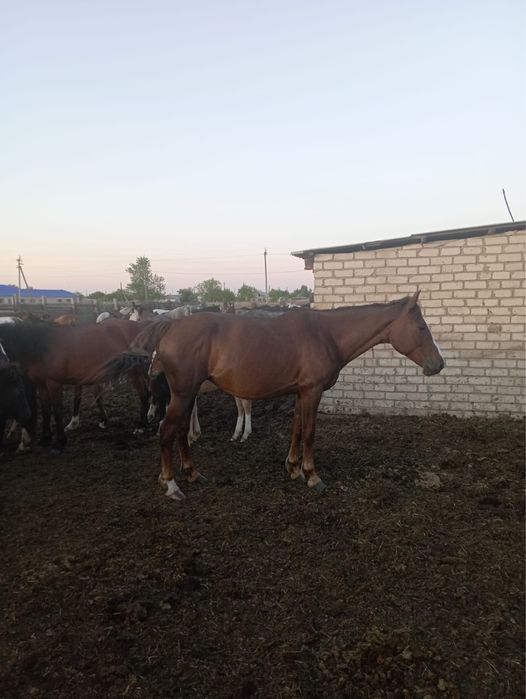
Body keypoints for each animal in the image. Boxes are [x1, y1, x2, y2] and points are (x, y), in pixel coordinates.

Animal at [0, 319, 154, 451]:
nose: (25, 416)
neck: (40, 344)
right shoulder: (42, 384)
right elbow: (45, 411)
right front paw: (45, 439)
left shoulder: (54, 383)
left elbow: (57, 411)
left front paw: (60, 442)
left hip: (136, 373)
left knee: (144, 395)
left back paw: (141, 426)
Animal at [94, 291, 443, 501]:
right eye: (422, 327)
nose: (438, 365)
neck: (326, 334)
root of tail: (169, 327)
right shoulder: (312, 392)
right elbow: (309, 432)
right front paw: (312, 476)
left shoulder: (301, 392)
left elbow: (297, 430)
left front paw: (293, 468)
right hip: (182, 393)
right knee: (166, 431)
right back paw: (171, 484)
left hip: (188, 393)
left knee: (179, 432)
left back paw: (193, 474)